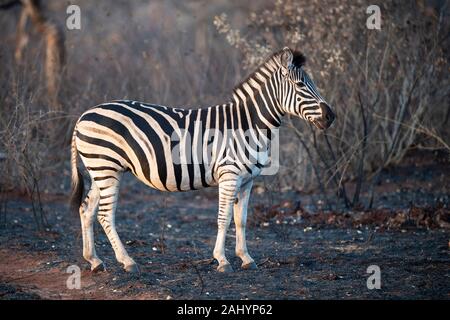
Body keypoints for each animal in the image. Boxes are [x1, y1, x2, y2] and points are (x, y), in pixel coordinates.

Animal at [71, 46, 334, 274]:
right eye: (300, 85)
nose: (330, 116)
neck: (248, 124)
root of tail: (83, 116)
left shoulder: (247, 180)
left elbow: (241, 220)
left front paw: (246, 258)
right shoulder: (229, 175)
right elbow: (224, 219)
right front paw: (222, 260)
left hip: (99, 170)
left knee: (87, 210)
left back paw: (94, 260)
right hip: (106, 168)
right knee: (105, 215)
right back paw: (127, 262)